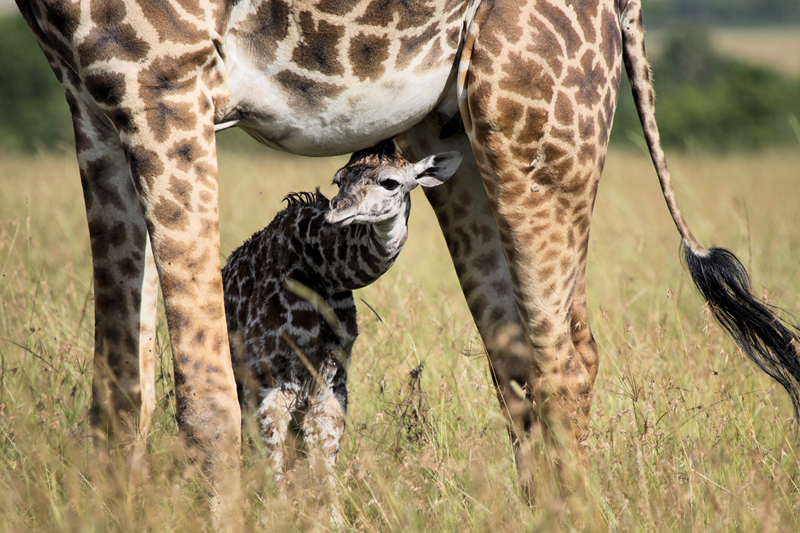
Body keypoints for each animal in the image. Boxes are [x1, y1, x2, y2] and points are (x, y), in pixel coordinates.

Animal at [222, 139, 460, 478]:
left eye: (390, 182)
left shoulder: (332, 382)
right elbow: (273, 464)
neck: (318, 266)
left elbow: (324, 460)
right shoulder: (267, 380)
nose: (337, 212)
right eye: (338, 180)